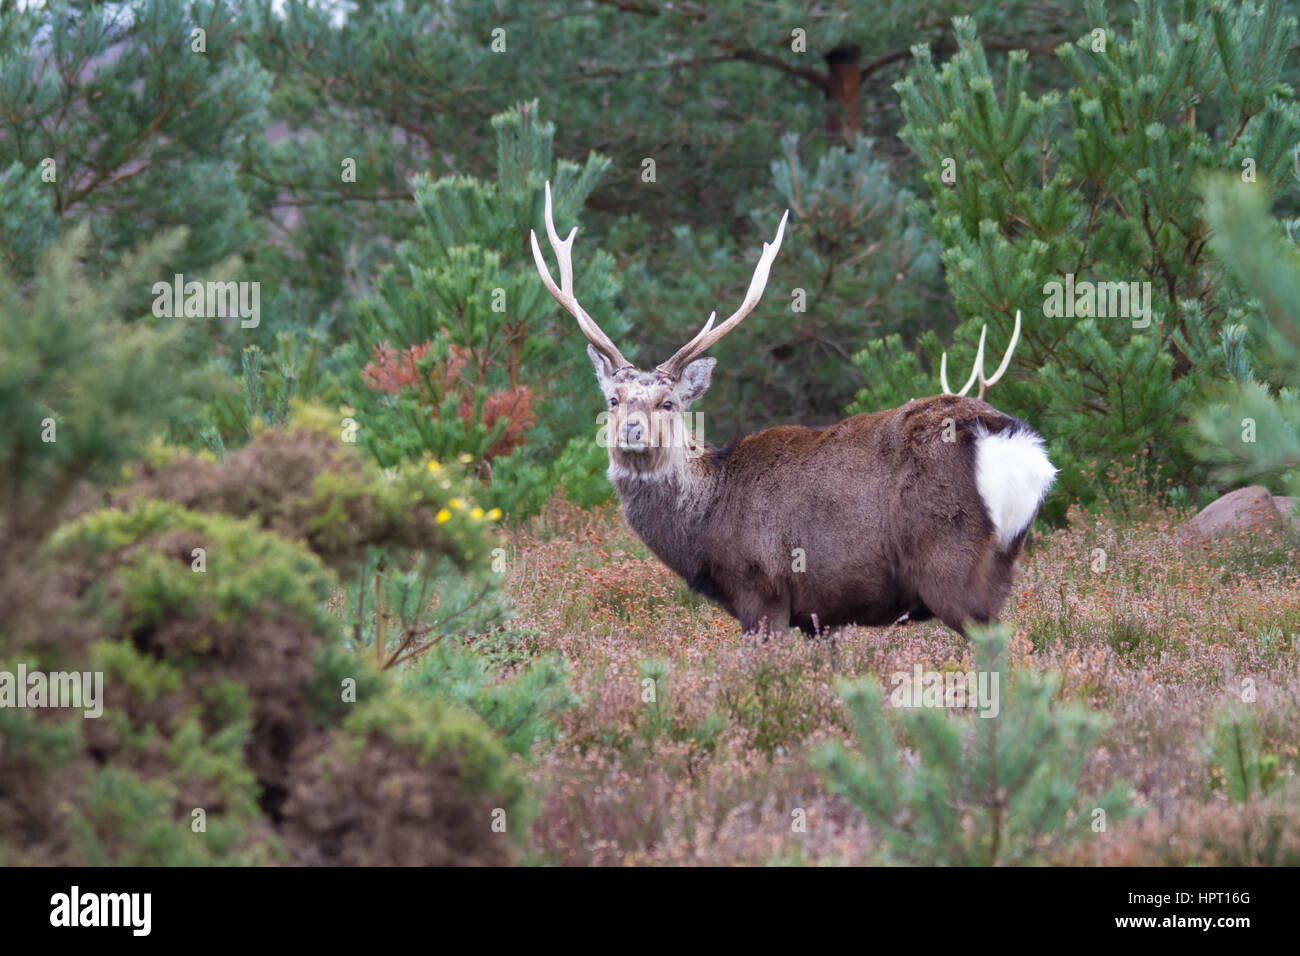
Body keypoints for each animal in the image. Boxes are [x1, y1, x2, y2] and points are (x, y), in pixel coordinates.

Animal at [529, 182, 1057, 637]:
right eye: (613, 399)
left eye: (669, 402)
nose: (632, 430)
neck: (706, 524)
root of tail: (1014, 442)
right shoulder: (825, 614)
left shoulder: (761, 589)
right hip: (1004, 558)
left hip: (949, 560)